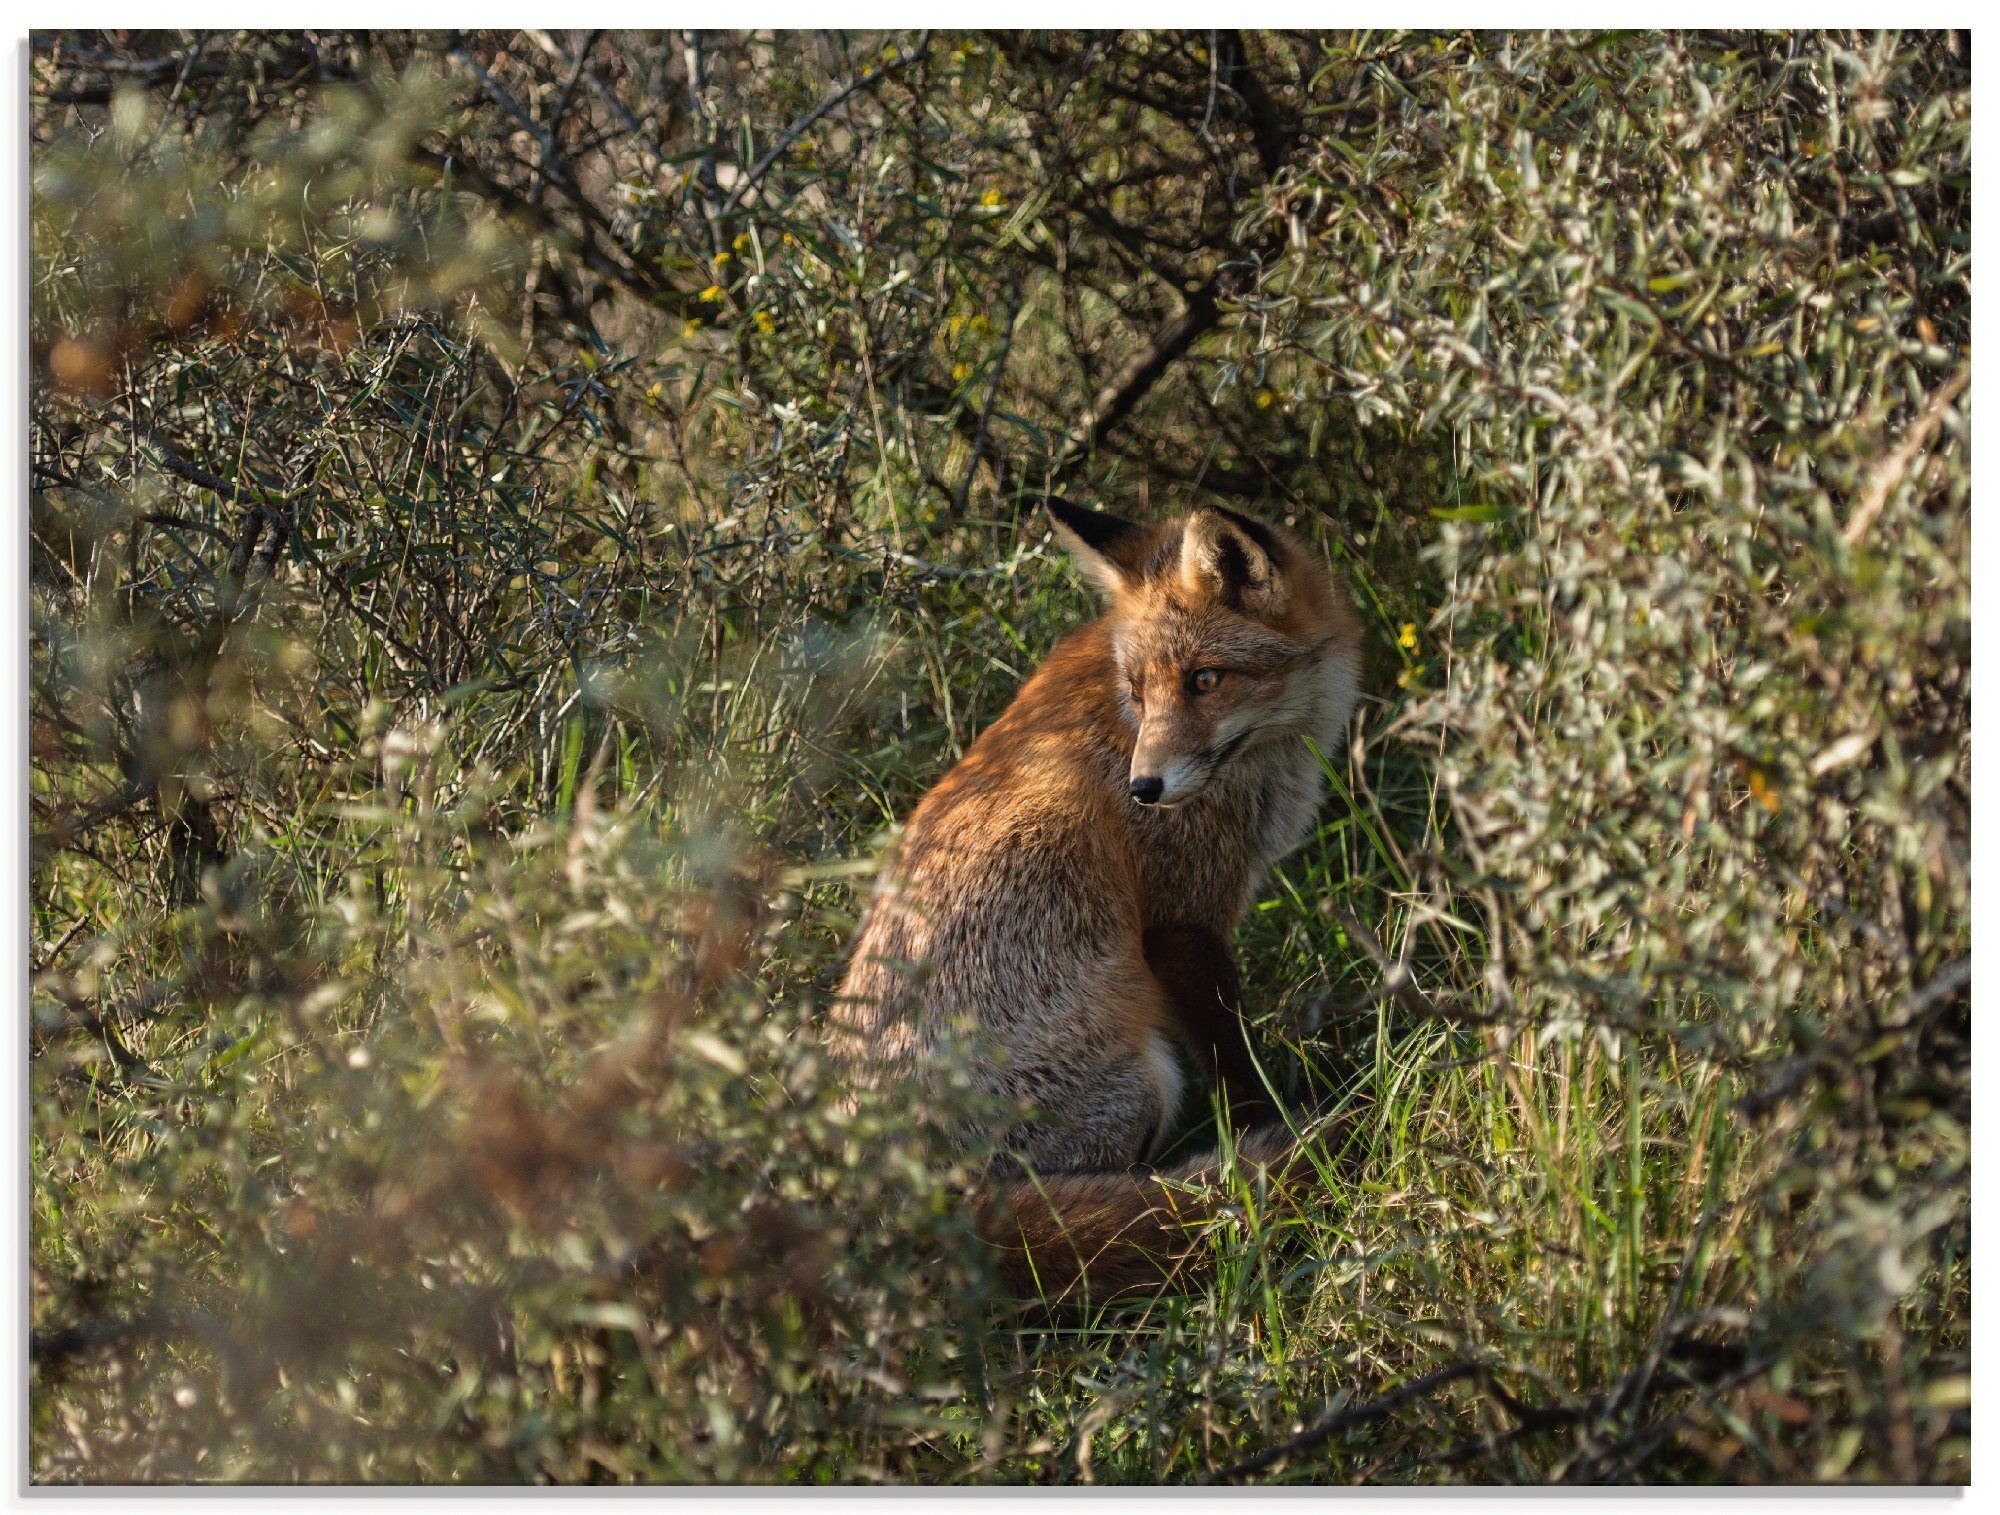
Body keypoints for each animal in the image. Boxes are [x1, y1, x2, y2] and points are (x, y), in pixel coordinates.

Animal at [828, 501, 1360, 1303]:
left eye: (1205, 679)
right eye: (1138, 692)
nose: (1144, 789)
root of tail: (888, 1209)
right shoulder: (1181, 920)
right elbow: (1236, 1065)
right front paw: (1263, 1125)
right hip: (1145, 1079)